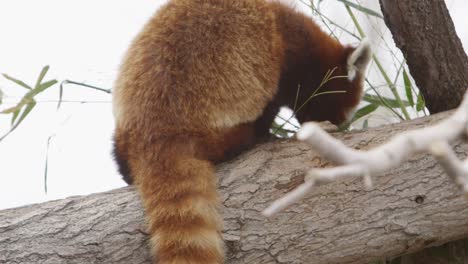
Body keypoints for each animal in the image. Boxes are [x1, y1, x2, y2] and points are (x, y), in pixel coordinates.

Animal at [111, 0, 372, 264]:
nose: (341, 126)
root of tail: (156, 130)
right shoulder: (284, 57)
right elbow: (271, 102)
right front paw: (268, 133)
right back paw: (250, 137)